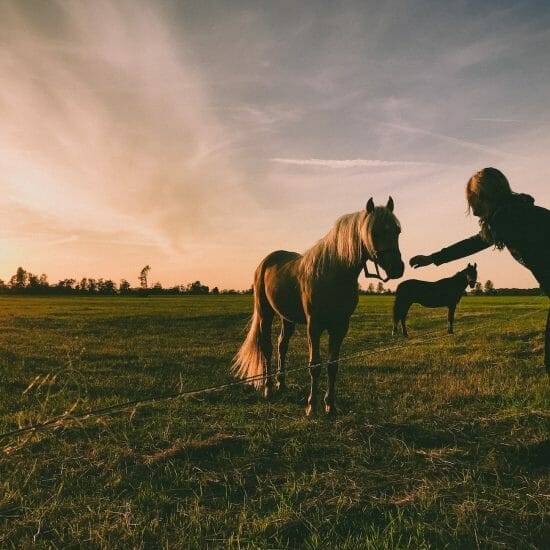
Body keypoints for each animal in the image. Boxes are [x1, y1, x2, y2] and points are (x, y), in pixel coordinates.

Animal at [232, 198, 406, 414]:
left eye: (397, 231)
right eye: (374, 232)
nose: (397, 268)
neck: (333, 273)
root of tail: (265, 262)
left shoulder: (340, 327)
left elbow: (333, 365)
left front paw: (330, 406)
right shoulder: (313, 326)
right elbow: (315, 365)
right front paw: (312, 407)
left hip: (287, 318)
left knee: (282, 345)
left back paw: (281, 384)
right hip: (265, 313)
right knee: (267, 347)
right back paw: (268, 388)